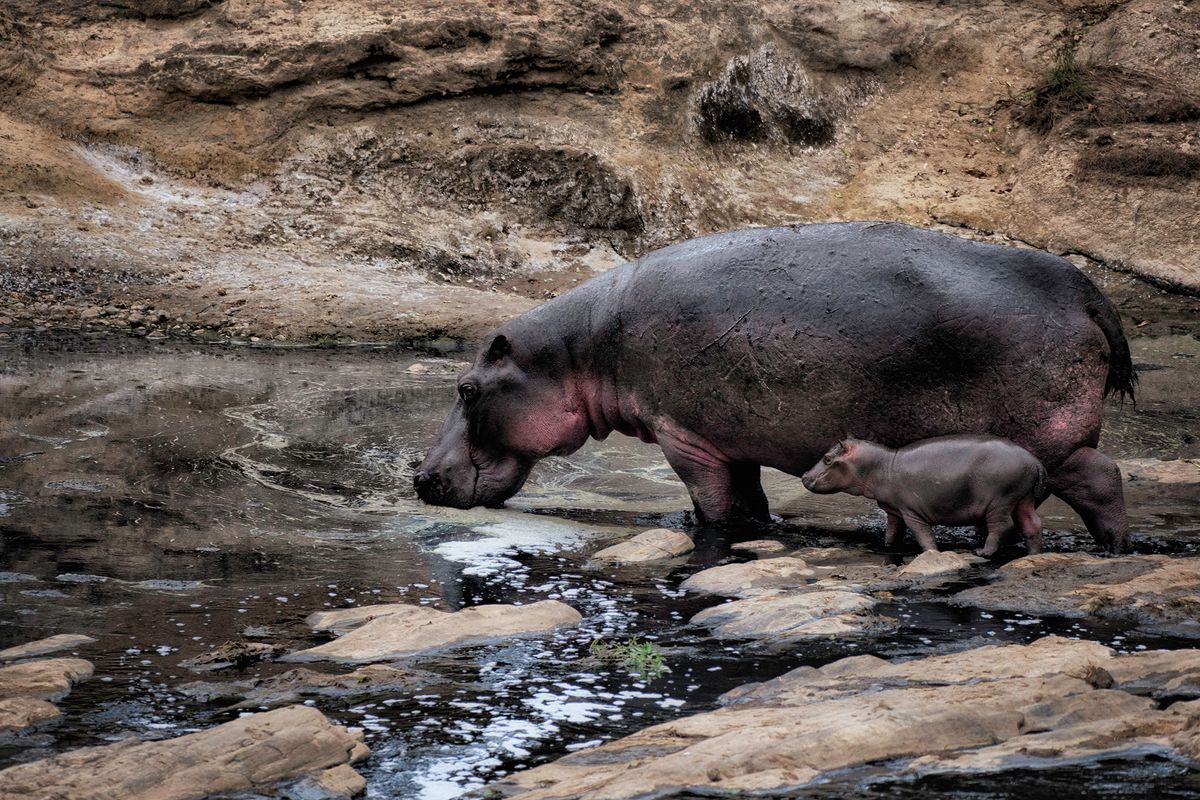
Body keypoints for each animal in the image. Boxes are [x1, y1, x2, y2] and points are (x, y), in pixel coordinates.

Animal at [801, 438, 1046, 556]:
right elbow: (893, 531)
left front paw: (931, 553)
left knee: (1002, 526)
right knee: (1032, 524)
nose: (803, 476)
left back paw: (983, 552)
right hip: (1023, 498)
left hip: (999, 501)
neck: (881, 465)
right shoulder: (894, 511)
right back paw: (1032, 555)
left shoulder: (911, 512)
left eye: (827, 458)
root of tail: (1035, 461)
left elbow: (922, 534)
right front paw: (888, 547)